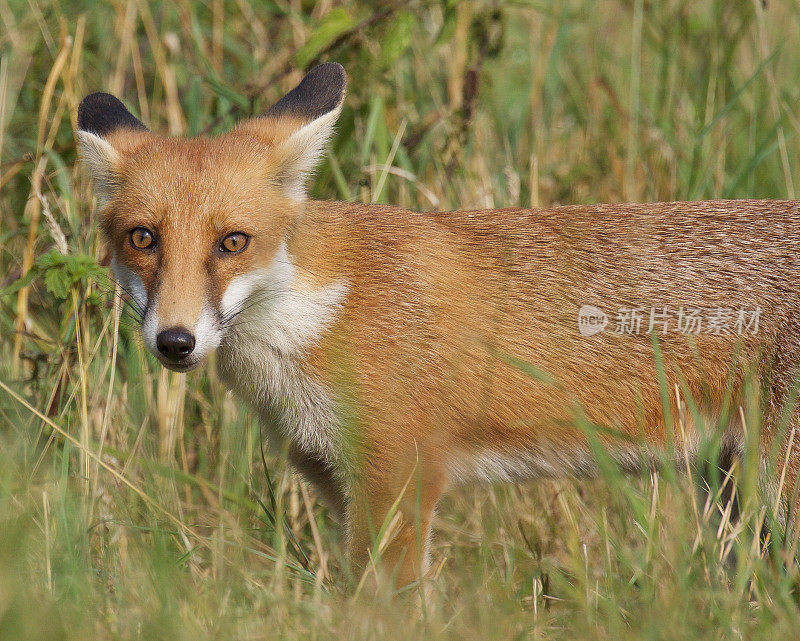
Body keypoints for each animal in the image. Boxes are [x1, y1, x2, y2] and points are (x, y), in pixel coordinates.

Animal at [79, 62, 800, 588]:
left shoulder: (397, 484)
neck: (316, 318)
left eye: (232, 242)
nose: (175, 341)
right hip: (734, 498)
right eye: (143, 238)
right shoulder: (339, 485)